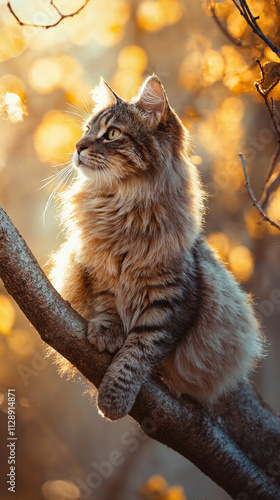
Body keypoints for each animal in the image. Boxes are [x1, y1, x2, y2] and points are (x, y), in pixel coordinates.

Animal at [49, 74, 262, 420]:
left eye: (112, 133)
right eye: (86, 130)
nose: (78, 147)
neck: (123, 207)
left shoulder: (172, 301)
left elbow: (138, 353)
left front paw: (114, 400)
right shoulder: (97, 269)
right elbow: (107, 302)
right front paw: (107, 332)